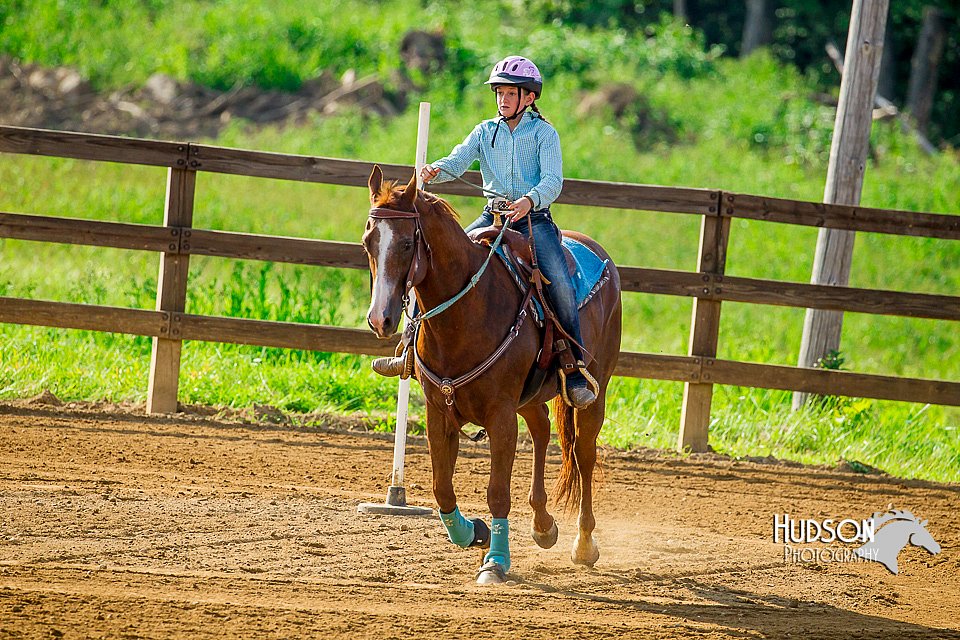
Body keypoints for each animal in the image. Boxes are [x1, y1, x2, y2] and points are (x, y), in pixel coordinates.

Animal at [362, 166, 624, 584]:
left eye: (405, 244)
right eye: (368, 242)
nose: (380, 319)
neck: (467, 311)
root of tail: (600, 255)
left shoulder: (500, 414)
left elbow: (498, 491)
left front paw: (496, 562)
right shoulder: (439, 413)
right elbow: (442, 488)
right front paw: (474, 534)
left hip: (594, 390)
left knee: (584, 453)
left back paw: (583, 544)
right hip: (529, 398)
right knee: (542, 429)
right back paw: (543, 525)